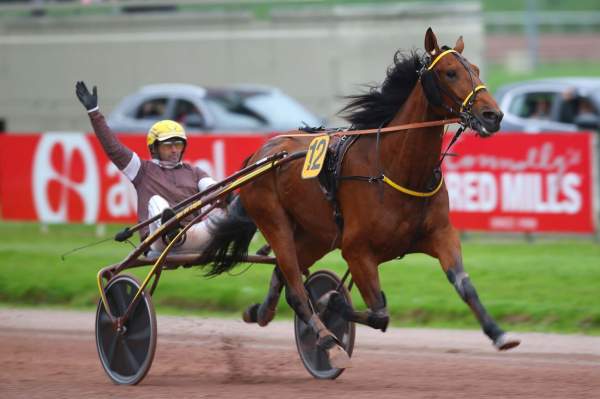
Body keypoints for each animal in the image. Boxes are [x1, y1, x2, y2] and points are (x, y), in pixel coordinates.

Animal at [202, 27, 520, 366]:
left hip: (317, 235)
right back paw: (326, 341)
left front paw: (498, 333)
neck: (395, 167)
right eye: (450, 72)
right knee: (295, 285)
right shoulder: (357, 250)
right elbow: (379, 312)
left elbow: (464, 284)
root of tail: (261, 154)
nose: (493, 115)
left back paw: (260, 311)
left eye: (476, 69)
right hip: (274, 221)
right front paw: (330, 302)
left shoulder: (440, 234)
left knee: (283, 276)